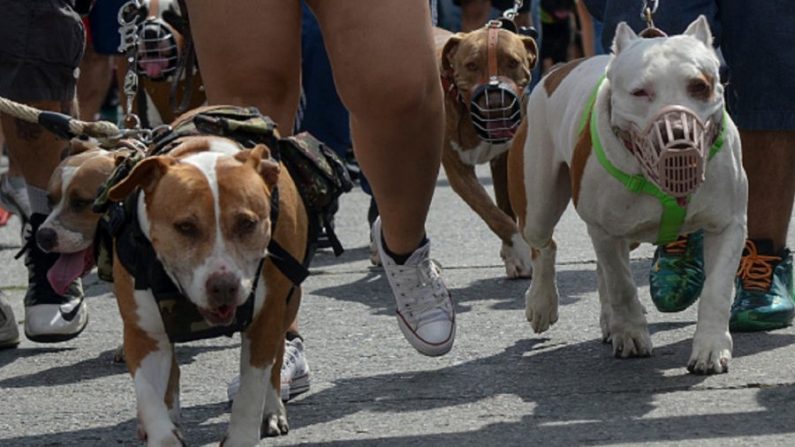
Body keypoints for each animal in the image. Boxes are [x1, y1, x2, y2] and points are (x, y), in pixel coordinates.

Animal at [102, 113, 308, 444]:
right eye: (185, 227)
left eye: (247, 223)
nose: (223, 286)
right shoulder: (143, 334)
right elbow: (149, 395)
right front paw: (163, 435)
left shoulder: (265, 320)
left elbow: (252, 390)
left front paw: (242, 435)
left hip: (288, 303)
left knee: (276, 359)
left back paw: (273, 410)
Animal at [436, 21, 540, 280]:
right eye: (471, 65)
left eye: (513, 62)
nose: (495, 102)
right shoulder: (459, 172)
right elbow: (493, 214)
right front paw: (520, 250)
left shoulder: (505, 159)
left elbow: (505, 206)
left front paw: (512, 254)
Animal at [510, 16, 748, 374]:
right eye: (640, 92)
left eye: (699, 86)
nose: (679, 133)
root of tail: (560, 69)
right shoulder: (604, 228)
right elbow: (622, 285)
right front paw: (633, 335)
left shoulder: (728, 224)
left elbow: (716, 290)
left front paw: (710, 347)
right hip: (538, 203)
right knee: (545, 246)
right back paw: (542, 303)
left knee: (600, 268)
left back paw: (608, 320)